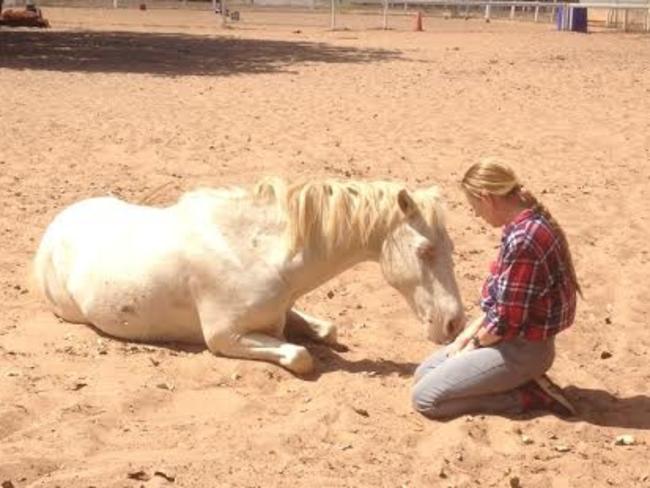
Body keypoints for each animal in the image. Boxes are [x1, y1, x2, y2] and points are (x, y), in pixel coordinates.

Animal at [33, 179, 464, 374]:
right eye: (425, 251)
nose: (454, 324)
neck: (258, 253)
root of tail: (55, 227)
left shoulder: (281, 313)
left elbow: (327, 330)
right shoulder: (226, 338)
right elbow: (300, 355)